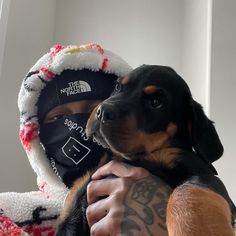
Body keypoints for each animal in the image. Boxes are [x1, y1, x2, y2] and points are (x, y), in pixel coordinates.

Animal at [55, 65, 236, 236]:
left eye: (155, 102)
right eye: (118, 87)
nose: (102, 112)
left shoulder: (203, 172)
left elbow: (188, 190)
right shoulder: (76, 202)